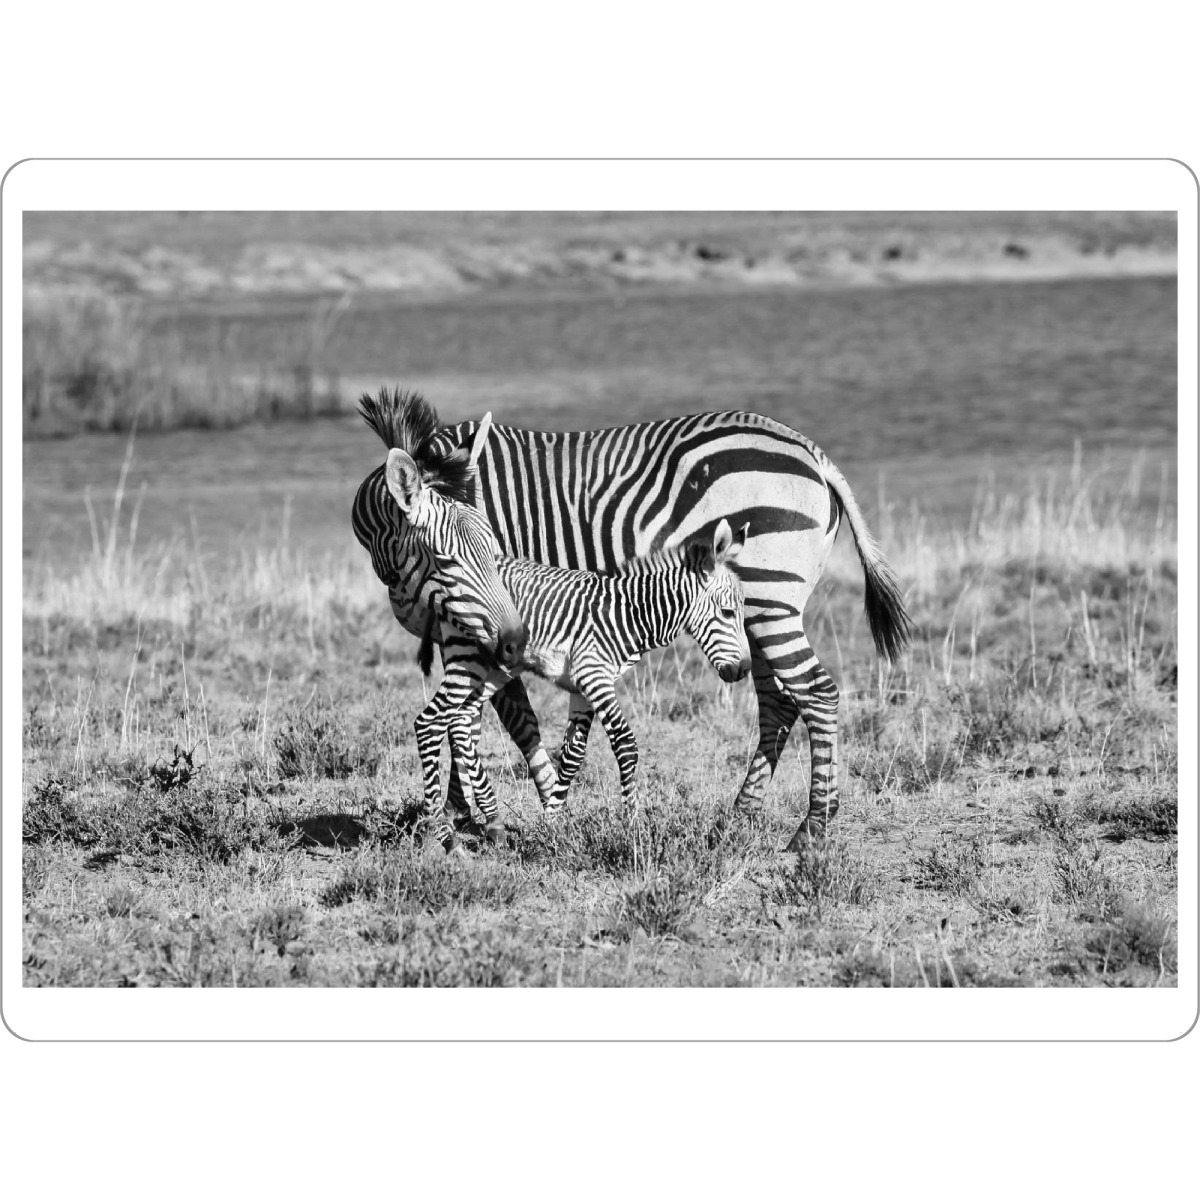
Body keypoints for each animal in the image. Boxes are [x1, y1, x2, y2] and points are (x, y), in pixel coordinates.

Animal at [415, 519, 750, 848]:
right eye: (727, 612)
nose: (744, 670)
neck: (629, 615)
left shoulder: (582, 687)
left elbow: (573, 755)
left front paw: (553, 823)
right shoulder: (595, 676)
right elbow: (626, 744)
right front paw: (633, 828)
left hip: (497, 669)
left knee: (459, 719)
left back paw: (492, 819)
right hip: (468, 656)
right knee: (430, 721)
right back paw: (441, 833)